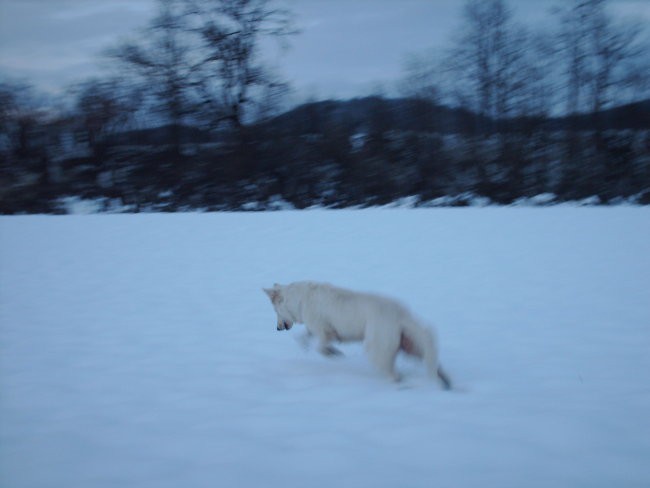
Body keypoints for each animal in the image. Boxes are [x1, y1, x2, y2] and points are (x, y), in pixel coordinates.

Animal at [264, 282, 450, 388]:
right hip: (412, 348)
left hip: (377, 350)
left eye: (275, 311)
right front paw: (306, 344)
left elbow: (321, 347)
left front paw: (334, 353)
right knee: (434, 366)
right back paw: (445, 382)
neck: (300, 299)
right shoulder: (318, 330)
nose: (277, 328)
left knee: (394, 374)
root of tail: (401, 315)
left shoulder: (325, 331)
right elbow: (305, 337)